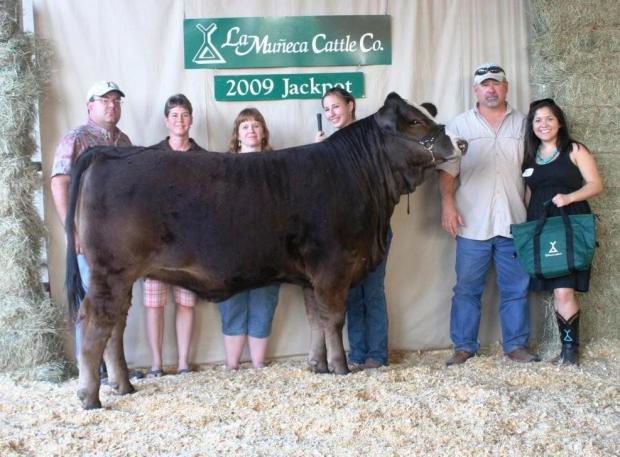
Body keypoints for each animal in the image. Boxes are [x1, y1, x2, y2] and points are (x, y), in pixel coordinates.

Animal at [66, 91, 464, 406]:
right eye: (415, 121)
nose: (459, 144)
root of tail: (110, 153)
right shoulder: (333, 267)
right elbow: (334, 318)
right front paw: (340, 367)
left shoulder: (311, 276)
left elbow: (315, 319)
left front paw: (318, 365)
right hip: (109, 271)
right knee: (94, 322)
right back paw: (90, 396)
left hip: (121, 277)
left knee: (115, 325)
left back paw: (123, 385)